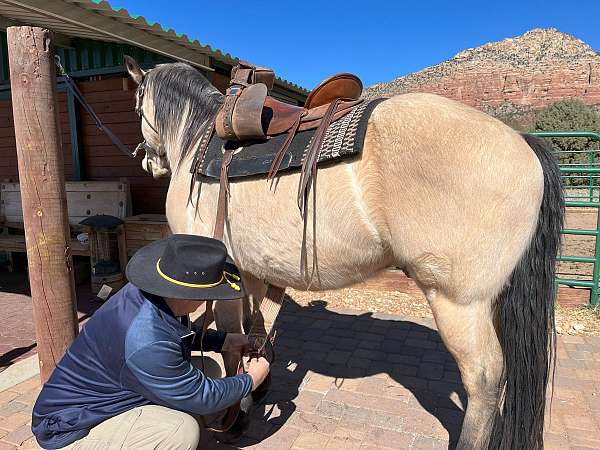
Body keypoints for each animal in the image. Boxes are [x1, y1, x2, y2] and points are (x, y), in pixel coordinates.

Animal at [124, 57, 564, 450]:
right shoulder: (256, 272)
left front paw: (236, 418)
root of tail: (522, 142)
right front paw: (258, 388)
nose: (147, 160)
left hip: (460, 303)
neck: (198, 143)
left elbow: (232, 342)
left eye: (138, 106)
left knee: (484, 380)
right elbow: (254, 331)